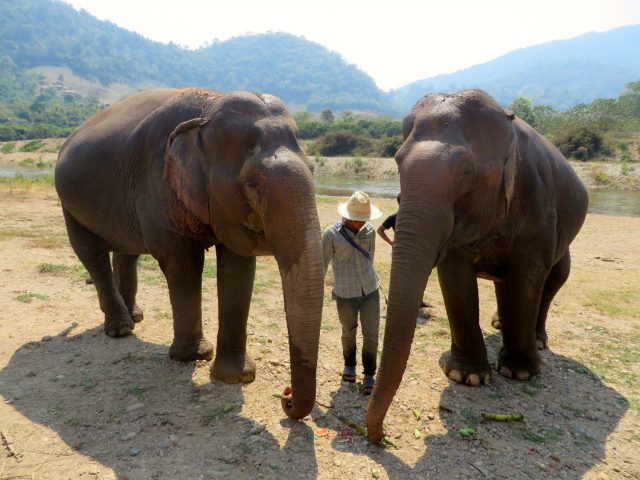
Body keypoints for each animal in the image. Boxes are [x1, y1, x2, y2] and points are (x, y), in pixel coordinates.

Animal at [54, 88, 324, 419]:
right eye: (252, 184)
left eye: (313, 171)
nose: (285, 398)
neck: (209, 108)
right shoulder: (158, 187)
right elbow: (183, 264)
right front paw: (192, 356)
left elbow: (238, 268)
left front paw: (236, 377)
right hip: (68, 202)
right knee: (91, 256)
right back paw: (121, 329)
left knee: (127, 252)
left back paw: (135, 316)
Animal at [366, 89, 588, 442]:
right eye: (398, 163)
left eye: (466, 173)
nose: (379, 435)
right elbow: (455, 277)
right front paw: (466, 376)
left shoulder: (536, 204)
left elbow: (527, 275)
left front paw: (519, 372)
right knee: (504, 283)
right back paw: (500, 323)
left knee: (553, 278)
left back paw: (537, 340)